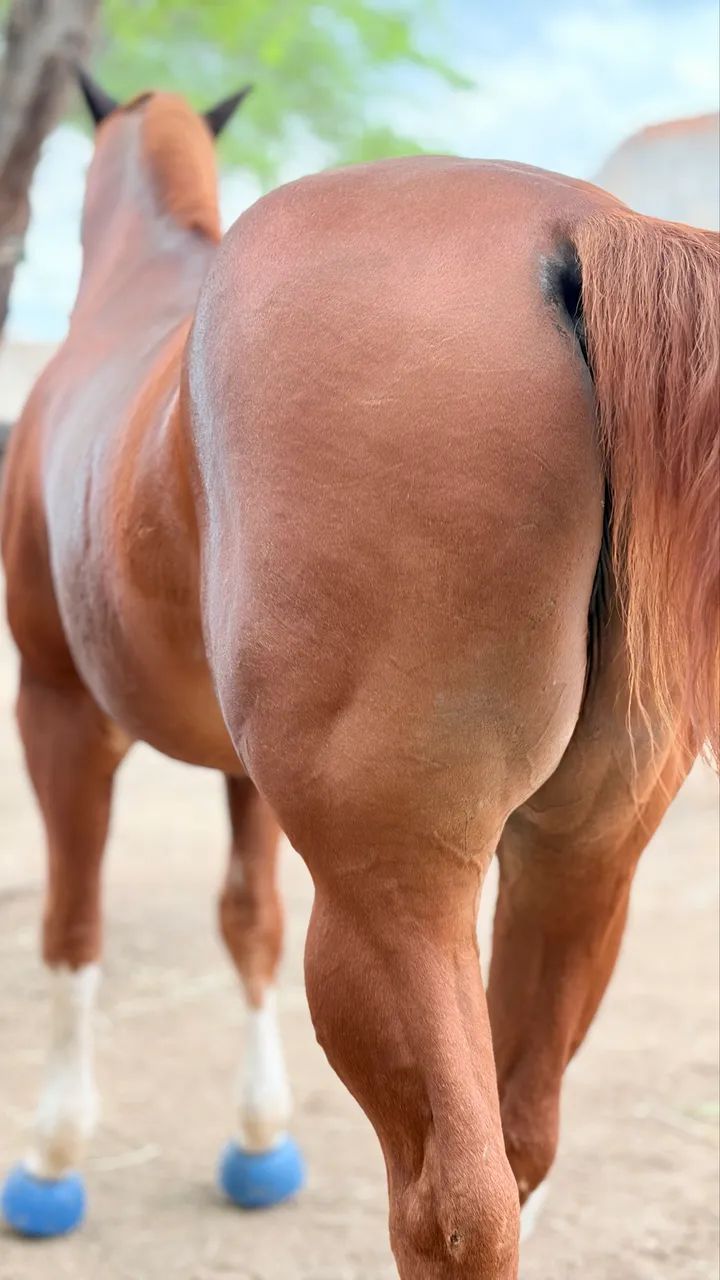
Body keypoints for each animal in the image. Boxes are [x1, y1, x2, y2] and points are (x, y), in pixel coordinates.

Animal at [1, 73, 718, 1278]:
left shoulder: (58, 712)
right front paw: (257, 1142)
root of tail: (580, 225)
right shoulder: (239, 770)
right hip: (579, 863)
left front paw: (52, 1159)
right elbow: (245, 921)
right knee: (522, 1140)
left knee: (456, 1204)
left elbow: (71, 933)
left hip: (392, 897)